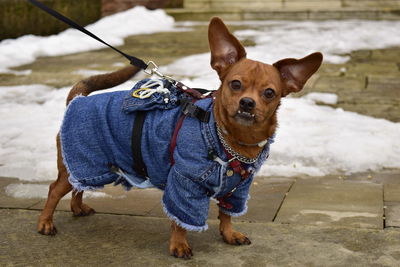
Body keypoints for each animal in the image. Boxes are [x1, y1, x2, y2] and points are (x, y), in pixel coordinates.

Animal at [36, 17, 320, 260]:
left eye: (270, 93)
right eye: (235, 84)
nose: (247, 103)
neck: (231, 141)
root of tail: (78, 99)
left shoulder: (237, 189)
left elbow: (227, 214)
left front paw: (229, 235)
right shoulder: (185, 185)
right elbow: (180, 221)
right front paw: (179, 245)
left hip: (92, 168)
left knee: (78, 186)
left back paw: (77, 208)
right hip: (82, 162)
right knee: (54, 189)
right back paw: (45, 223)